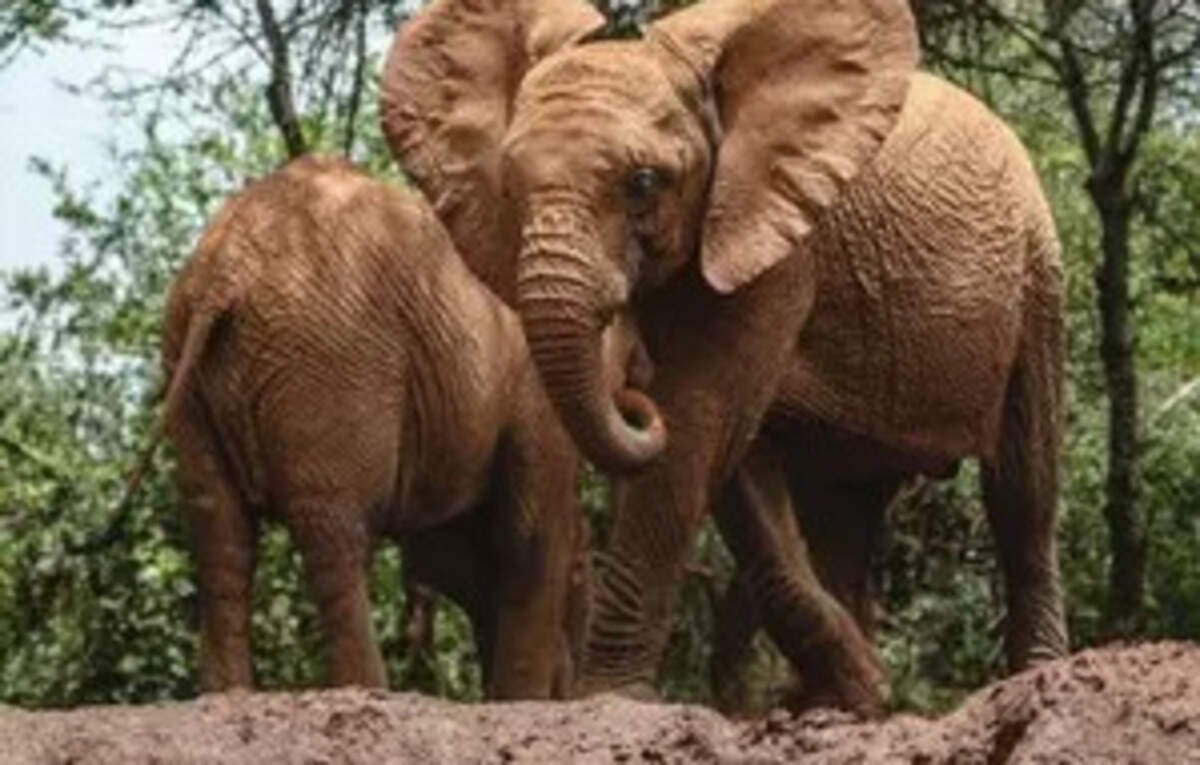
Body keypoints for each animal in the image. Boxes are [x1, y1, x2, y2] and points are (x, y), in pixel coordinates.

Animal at [158, 155, 595, 698]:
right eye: (581, 575)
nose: (571, 689)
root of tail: (223, 277)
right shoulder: (531, 387)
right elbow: (529, 537)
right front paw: (519, 703)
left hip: (193, 369)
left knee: (220, 531)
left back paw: (228, 695)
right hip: (329, 360)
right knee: (336, 535)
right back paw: (366, 690)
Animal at [380, 0, 1069, 715]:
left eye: (644, 183)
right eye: (510, 188)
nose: (633, 396)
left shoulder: (774, 240)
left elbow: (701, 419)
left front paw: (614, 699)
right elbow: (737, 457)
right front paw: (852, 688)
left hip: (1036, 274)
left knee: (1023, 486)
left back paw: (1036, 676)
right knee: (843, 509)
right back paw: (851, 702)